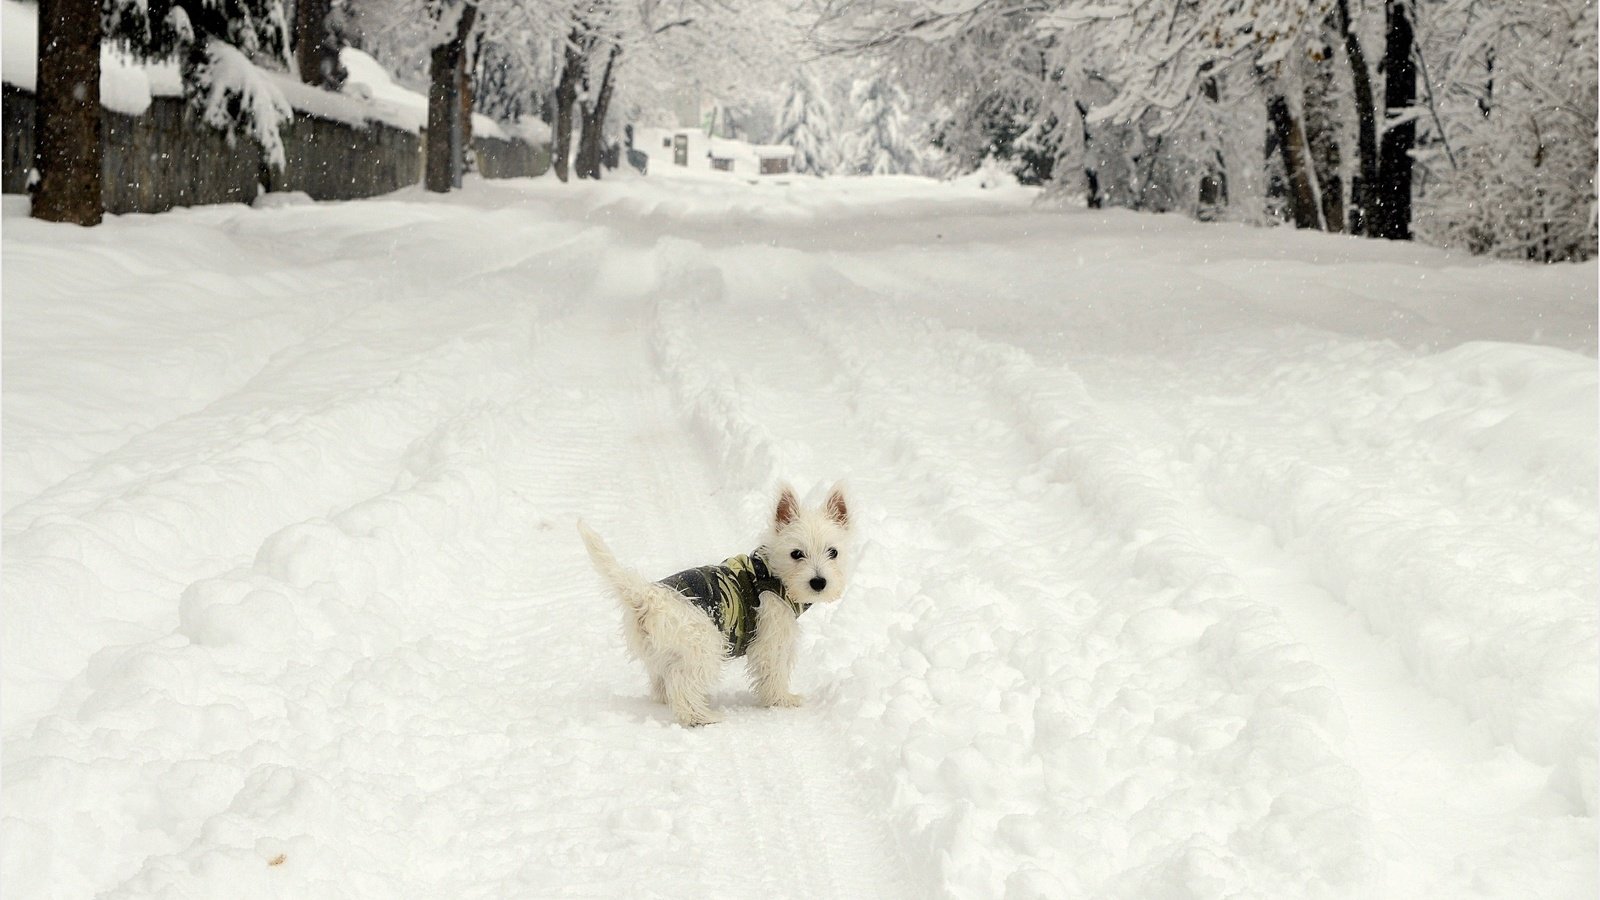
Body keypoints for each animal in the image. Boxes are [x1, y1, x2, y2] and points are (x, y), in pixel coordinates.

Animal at [576, 483, 851, 720]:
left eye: (833, 552)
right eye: (796, 553)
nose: (819, 582)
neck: (774, 574)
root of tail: (648, 597)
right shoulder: (771, 636)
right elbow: (775, 669)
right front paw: (782, 700)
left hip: (664, 651)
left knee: (664, 681)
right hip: (704, 643)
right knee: (683, 683)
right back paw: (702, 717)